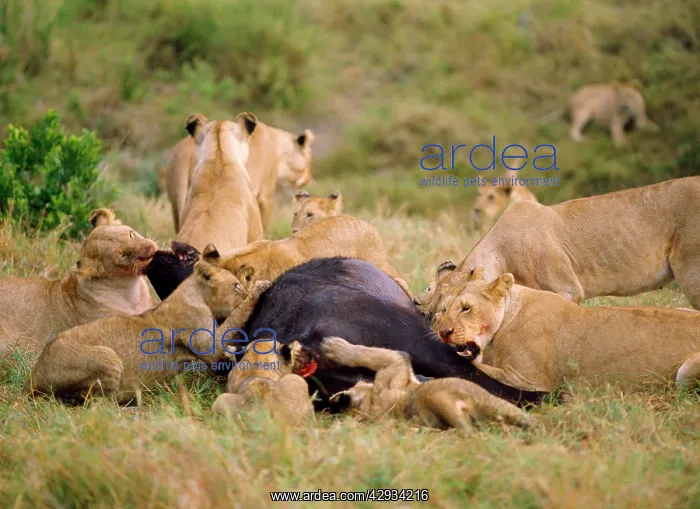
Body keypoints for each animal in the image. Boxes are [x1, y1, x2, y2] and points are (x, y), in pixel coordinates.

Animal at [24, 245, 260, 405]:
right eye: (236, 286)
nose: (245, 291)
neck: (194, 294)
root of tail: (33, 377)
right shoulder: (205, 339)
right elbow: (233, 320)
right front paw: (258, 290)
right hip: (107, 358)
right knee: (95, 401)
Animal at [316, 337, 532, 430]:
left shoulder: (394, 363)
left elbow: (367, 353)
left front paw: (333, 346)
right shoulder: (395, 363)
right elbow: (367, 353)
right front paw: (334, 347)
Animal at [433, 266, 700, 392]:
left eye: (466, 308)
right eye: (443, 310)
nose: (443, 332)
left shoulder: (532, 381)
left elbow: (479, 369)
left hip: (685, 371)